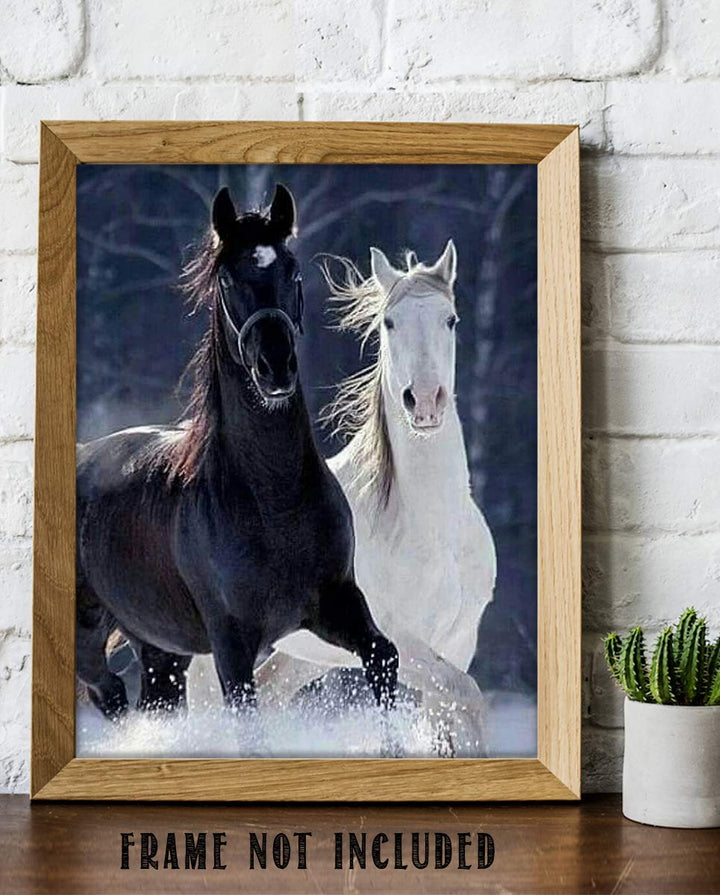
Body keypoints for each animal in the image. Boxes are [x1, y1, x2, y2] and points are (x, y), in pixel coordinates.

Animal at [76, 184, 398, 720]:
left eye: (292, 270)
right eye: (227, 280)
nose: (275, 367)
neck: (274, 500)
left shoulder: (337, 603)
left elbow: (383, 657)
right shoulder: (231, 643)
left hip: (160, 649)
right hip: (90, 639)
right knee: (112, 694)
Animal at [259, 241, 497, 755]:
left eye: (451, 319)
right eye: (389, 322)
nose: (423, 401)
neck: (429, 528)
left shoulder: (459, 639)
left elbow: (449, 721)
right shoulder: (397, 641)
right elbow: (466, 698)